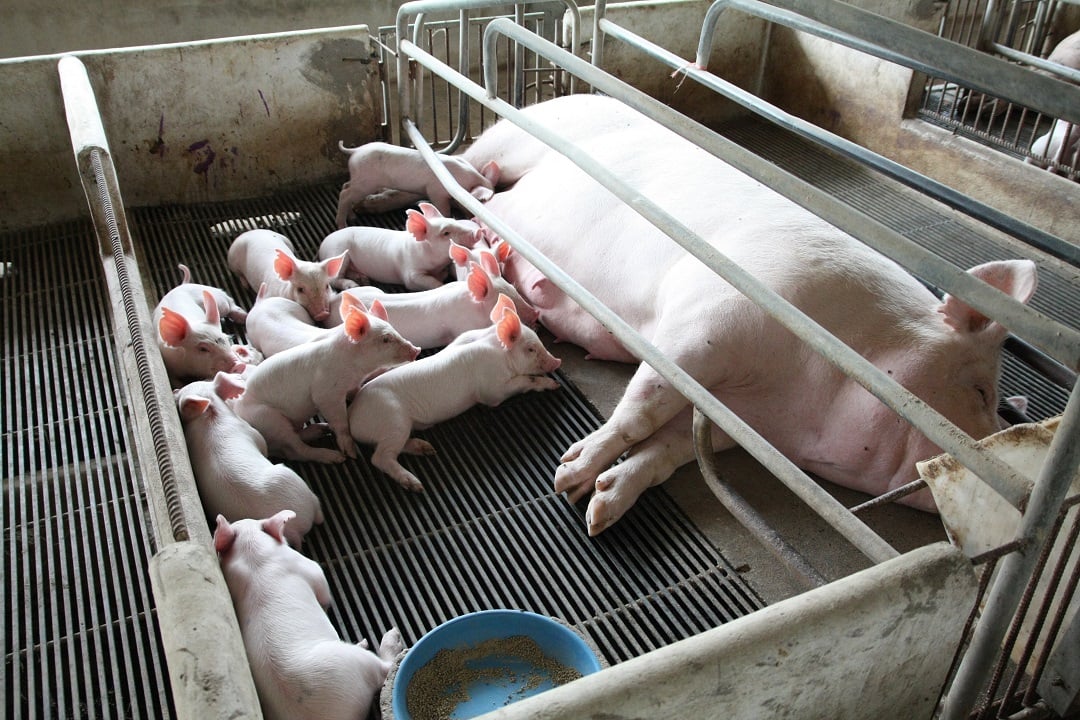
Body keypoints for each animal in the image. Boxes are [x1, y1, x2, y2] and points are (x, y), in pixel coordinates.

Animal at [173, 371, 319, 546]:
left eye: (181, 391)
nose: (174, 390)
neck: (209, 417)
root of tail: (295, 527)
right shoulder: (256, 436)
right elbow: (264, 446)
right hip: (291, 478)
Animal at [212, 511, 403, 720]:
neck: (251, 553)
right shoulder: (311, 569)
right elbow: (323, 592)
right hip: (350, 662)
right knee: (385, 667)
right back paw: (388, 637)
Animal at [234, 293, 419, 468]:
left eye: (394, 329)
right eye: (385, 339)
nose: (416, 349)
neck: (354, 368)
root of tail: (240, 412)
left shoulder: (352, 384)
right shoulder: (326, 393)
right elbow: (341, 421)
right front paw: (351, 454)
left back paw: (321, 429)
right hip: (268, 419)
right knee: (295, 449)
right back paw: (334, 457)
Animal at [349, 295, 561, 492]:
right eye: (531, 349)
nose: (557, 362)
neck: (494, 344)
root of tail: (352, 416)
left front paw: (555, 383)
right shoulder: (492, 389)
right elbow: (522, 382)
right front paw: (554, 384)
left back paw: (427, 449)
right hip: (393, 419)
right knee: (379, 457)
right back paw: (416, 484)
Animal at [436, 94, 1036, 535]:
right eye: (980, 390)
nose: (1022, 495)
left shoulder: (749, 424)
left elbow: (673, 448)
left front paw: (599, 509)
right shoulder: (706, 323)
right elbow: (641, 410)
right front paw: (569, 476)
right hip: (506, 143)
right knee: (473, 173)